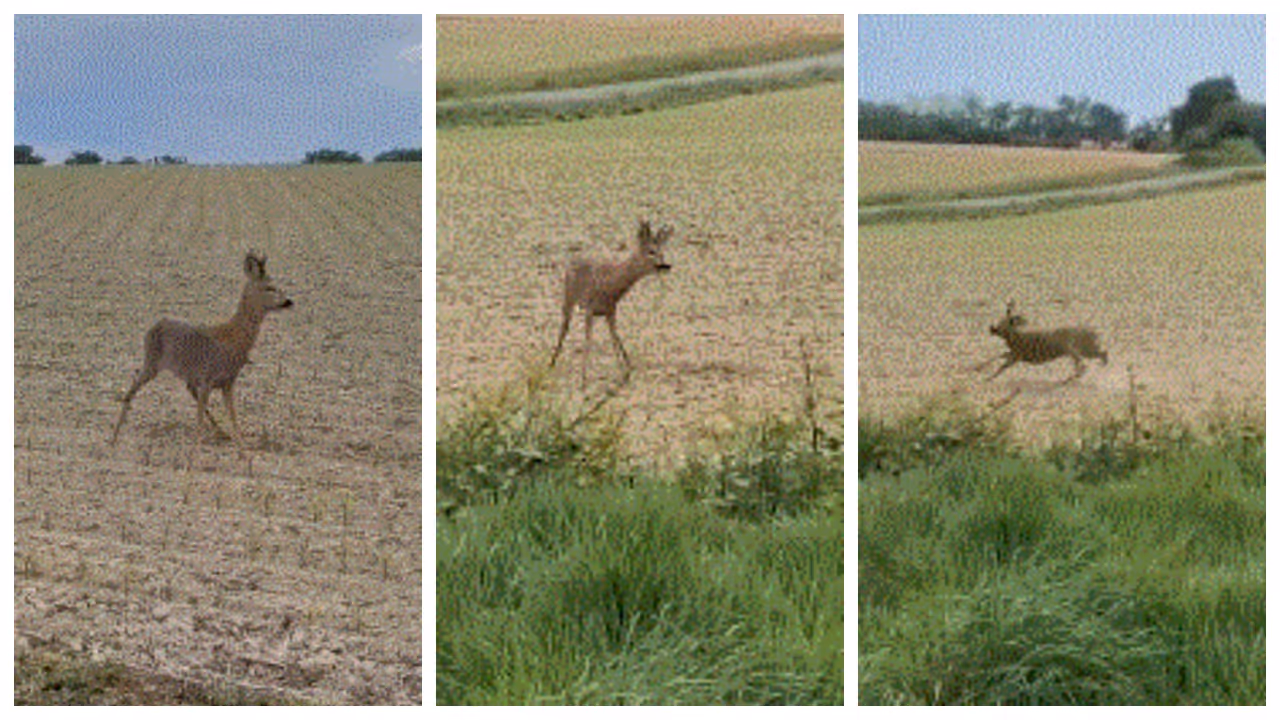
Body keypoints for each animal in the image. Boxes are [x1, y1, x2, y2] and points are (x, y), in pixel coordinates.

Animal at [110, 252, 293, 466]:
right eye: (269, 287)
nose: (288, 301)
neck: (234, 340)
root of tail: (155, 325)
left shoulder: (227, 382)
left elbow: (233, 416)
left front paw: (244, 455)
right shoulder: (207, 377)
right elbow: (200, 419)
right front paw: (194, 459)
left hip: (177, 370)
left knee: (186, 390)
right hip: (152, 362)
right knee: (133, 388)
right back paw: (114, 439)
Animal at [549, 219, 672, 387]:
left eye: (662, 252)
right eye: (651, 251)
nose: (665, 266)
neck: (612, 285)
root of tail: (573, 260)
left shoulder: (611, 310)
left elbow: (614, 337)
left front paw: (625, 370)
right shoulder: (590, 309)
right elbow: (589, 339)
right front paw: (584, 376)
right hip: (568, 297)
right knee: (564, 328)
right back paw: (552, 362)